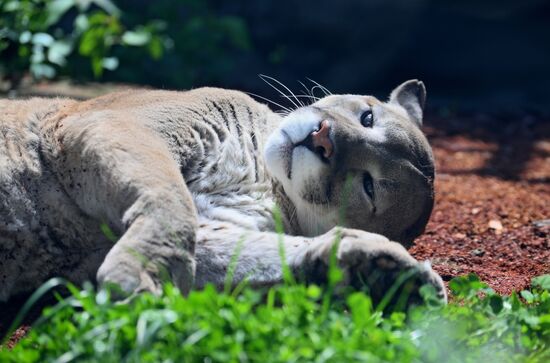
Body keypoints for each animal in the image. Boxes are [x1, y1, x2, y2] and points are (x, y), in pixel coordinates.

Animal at [0, 79, 448, 304]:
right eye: (368, 117)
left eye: (369, 187)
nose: (323, 139)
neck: (265, 179)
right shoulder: (109, 124)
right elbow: (170, 201)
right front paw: (138, 277)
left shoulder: (211, 227)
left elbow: (255, 254)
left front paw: (382, 270)